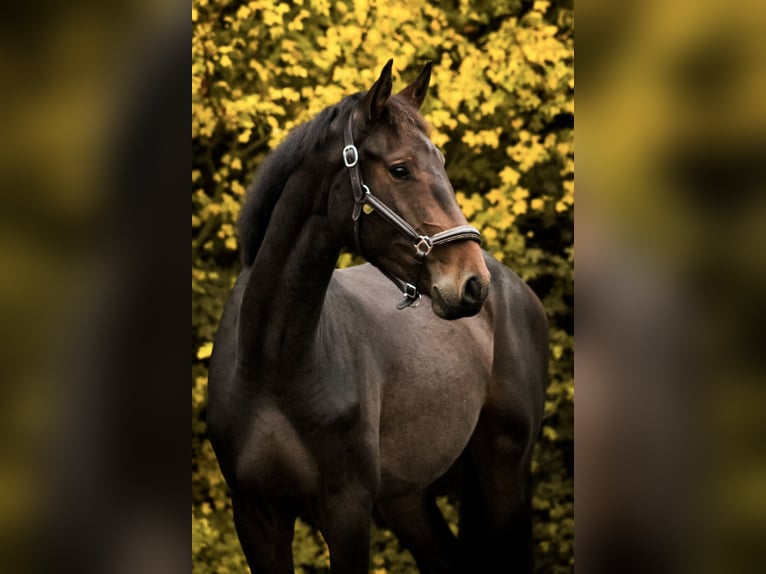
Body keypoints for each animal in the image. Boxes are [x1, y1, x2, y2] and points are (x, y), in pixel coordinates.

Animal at [207, 60, 548, 573]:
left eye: (441, 162)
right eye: (400, 169)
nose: (472, 283)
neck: (272, 363)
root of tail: (514, 288)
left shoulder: (347, 512)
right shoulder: (255, 517)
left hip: (504, 472)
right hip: (408, 498)